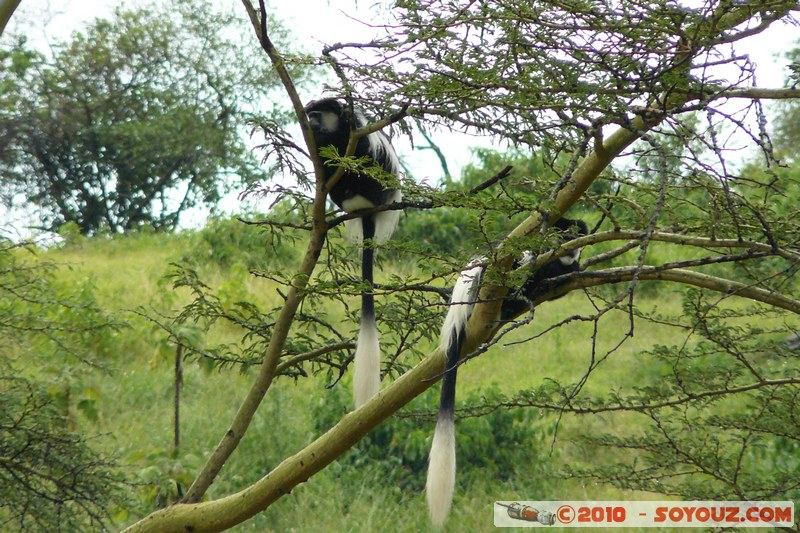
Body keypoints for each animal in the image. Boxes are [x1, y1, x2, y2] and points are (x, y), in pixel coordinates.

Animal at [306, 97, 406, 408]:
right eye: (309, 115)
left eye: (317, 114)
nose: (310, 123)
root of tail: (367, 211)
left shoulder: (357, 133)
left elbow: (363, 149)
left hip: (374, 185)